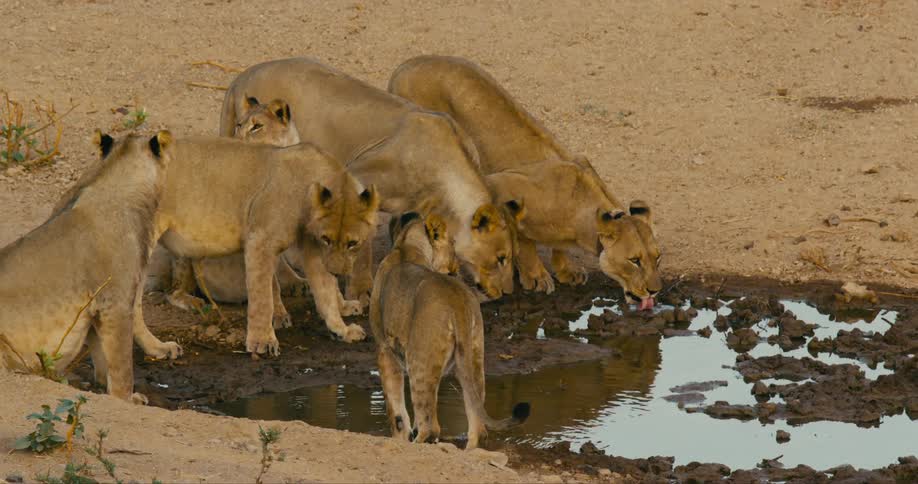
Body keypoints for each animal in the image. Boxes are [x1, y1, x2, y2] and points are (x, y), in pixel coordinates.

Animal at [149, 135, 379, 355]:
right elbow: (264, 294)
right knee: (171, 292)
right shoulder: (260, 240)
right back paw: (192, 303)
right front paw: (263, 340)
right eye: (327, 238)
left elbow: (326, 292)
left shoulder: (312, 248)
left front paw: (342, 329)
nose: (337, 272)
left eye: (352, 243)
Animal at [219, 57, 523, 302]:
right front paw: (360, 289)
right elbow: (362, 240)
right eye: (501, 258)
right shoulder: (356, 178)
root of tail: (242, 76)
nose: (507, 292)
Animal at [369, 212, 530, 448]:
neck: (406, 246)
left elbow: (396, 411)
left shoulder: (384, 349)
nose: (459, 266)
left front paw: (400, 439)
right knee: (477, 423)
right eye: (453, 245)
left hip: (420, 359)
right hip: (473, 357)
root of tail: (456, 300)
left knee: (431, 426)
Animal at [388, 55, 662, 308]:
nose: (654, 290)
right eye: (634, 260)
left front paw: (566, 271)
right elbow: (524, 241)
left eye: (657, 257)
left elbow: (557, 247)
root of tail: (406, 65)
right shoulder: (499, 188)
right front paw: (536, 276)